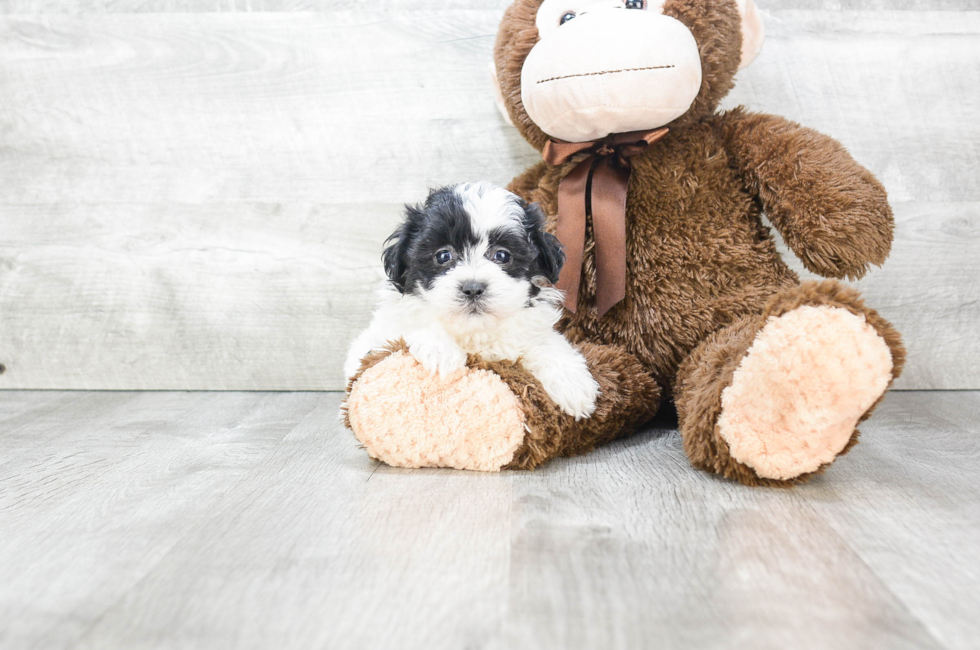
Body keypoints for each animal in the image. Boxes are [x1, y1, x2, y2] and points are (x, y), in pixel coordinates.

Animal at [348, 181, 600, 420]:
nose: (472, 288)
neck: (474, 330)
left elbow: (546, 342)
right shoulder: (386, 328)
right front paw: (441, 353)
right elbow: (413, 323)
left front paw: (574, 385)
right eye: (443, 255)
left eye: (502, 255)